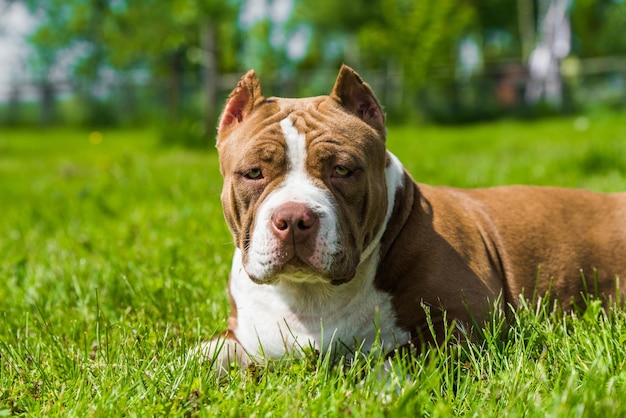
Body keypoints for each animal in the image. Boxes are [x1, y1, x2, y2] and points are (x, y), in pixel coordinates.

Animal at [199, 64, 624, 370]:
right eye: (254, 173)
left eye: (342, 170)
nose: (293, 219)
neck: (311, 295)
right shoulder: (241, 336)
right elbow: (201, 356)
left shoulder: (466, 327)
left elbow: (391, 363)